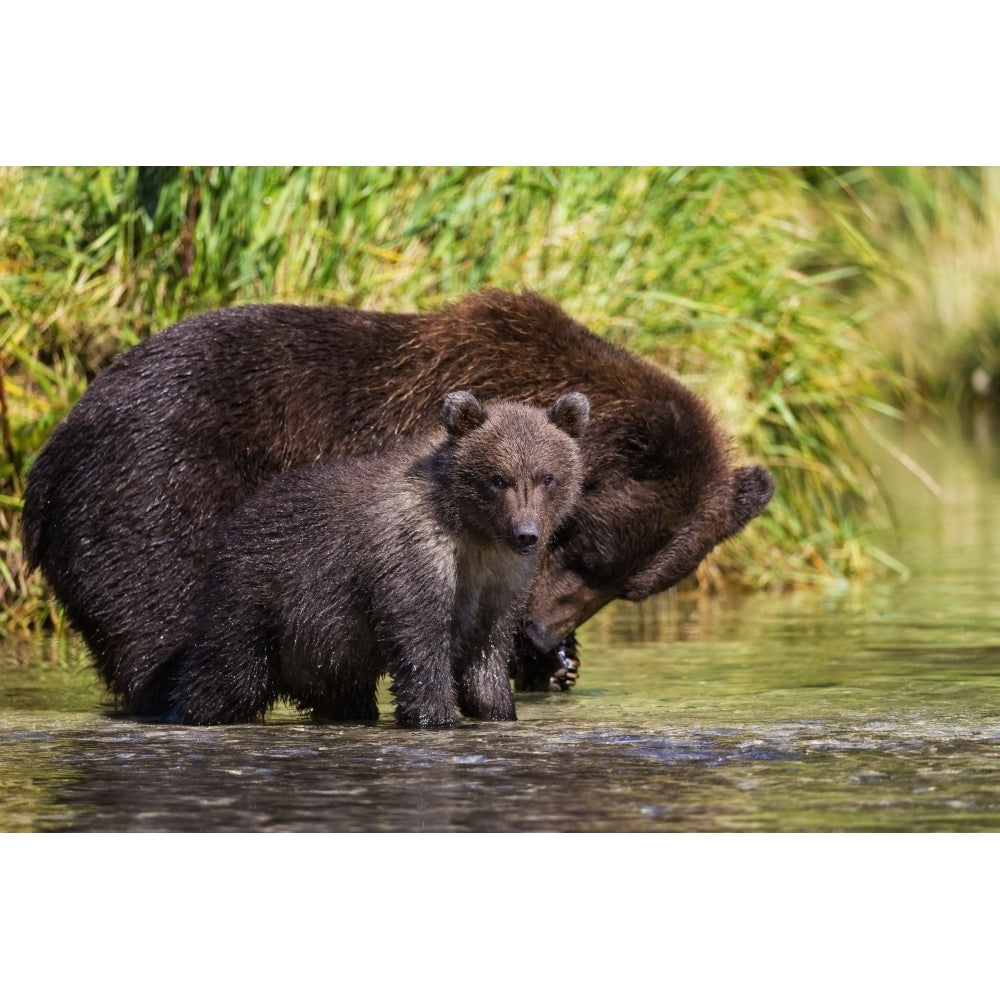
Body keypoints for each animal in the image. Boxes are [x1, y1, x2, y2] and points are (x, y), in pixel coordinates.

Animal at [162, 390, 584, 728]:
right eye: (498, 478)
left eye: (547, 477)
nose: (526, 533)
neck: (473, 532)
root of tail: (237, 516)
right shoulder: (412, 555)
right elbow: (420, 640)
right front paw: (436, 717)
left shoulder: (501, 580)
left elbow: (488, 652)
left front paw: (497, 710)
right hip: (257, 597)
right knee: (227, 673)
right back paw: (185, 711)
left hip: (326, 651)